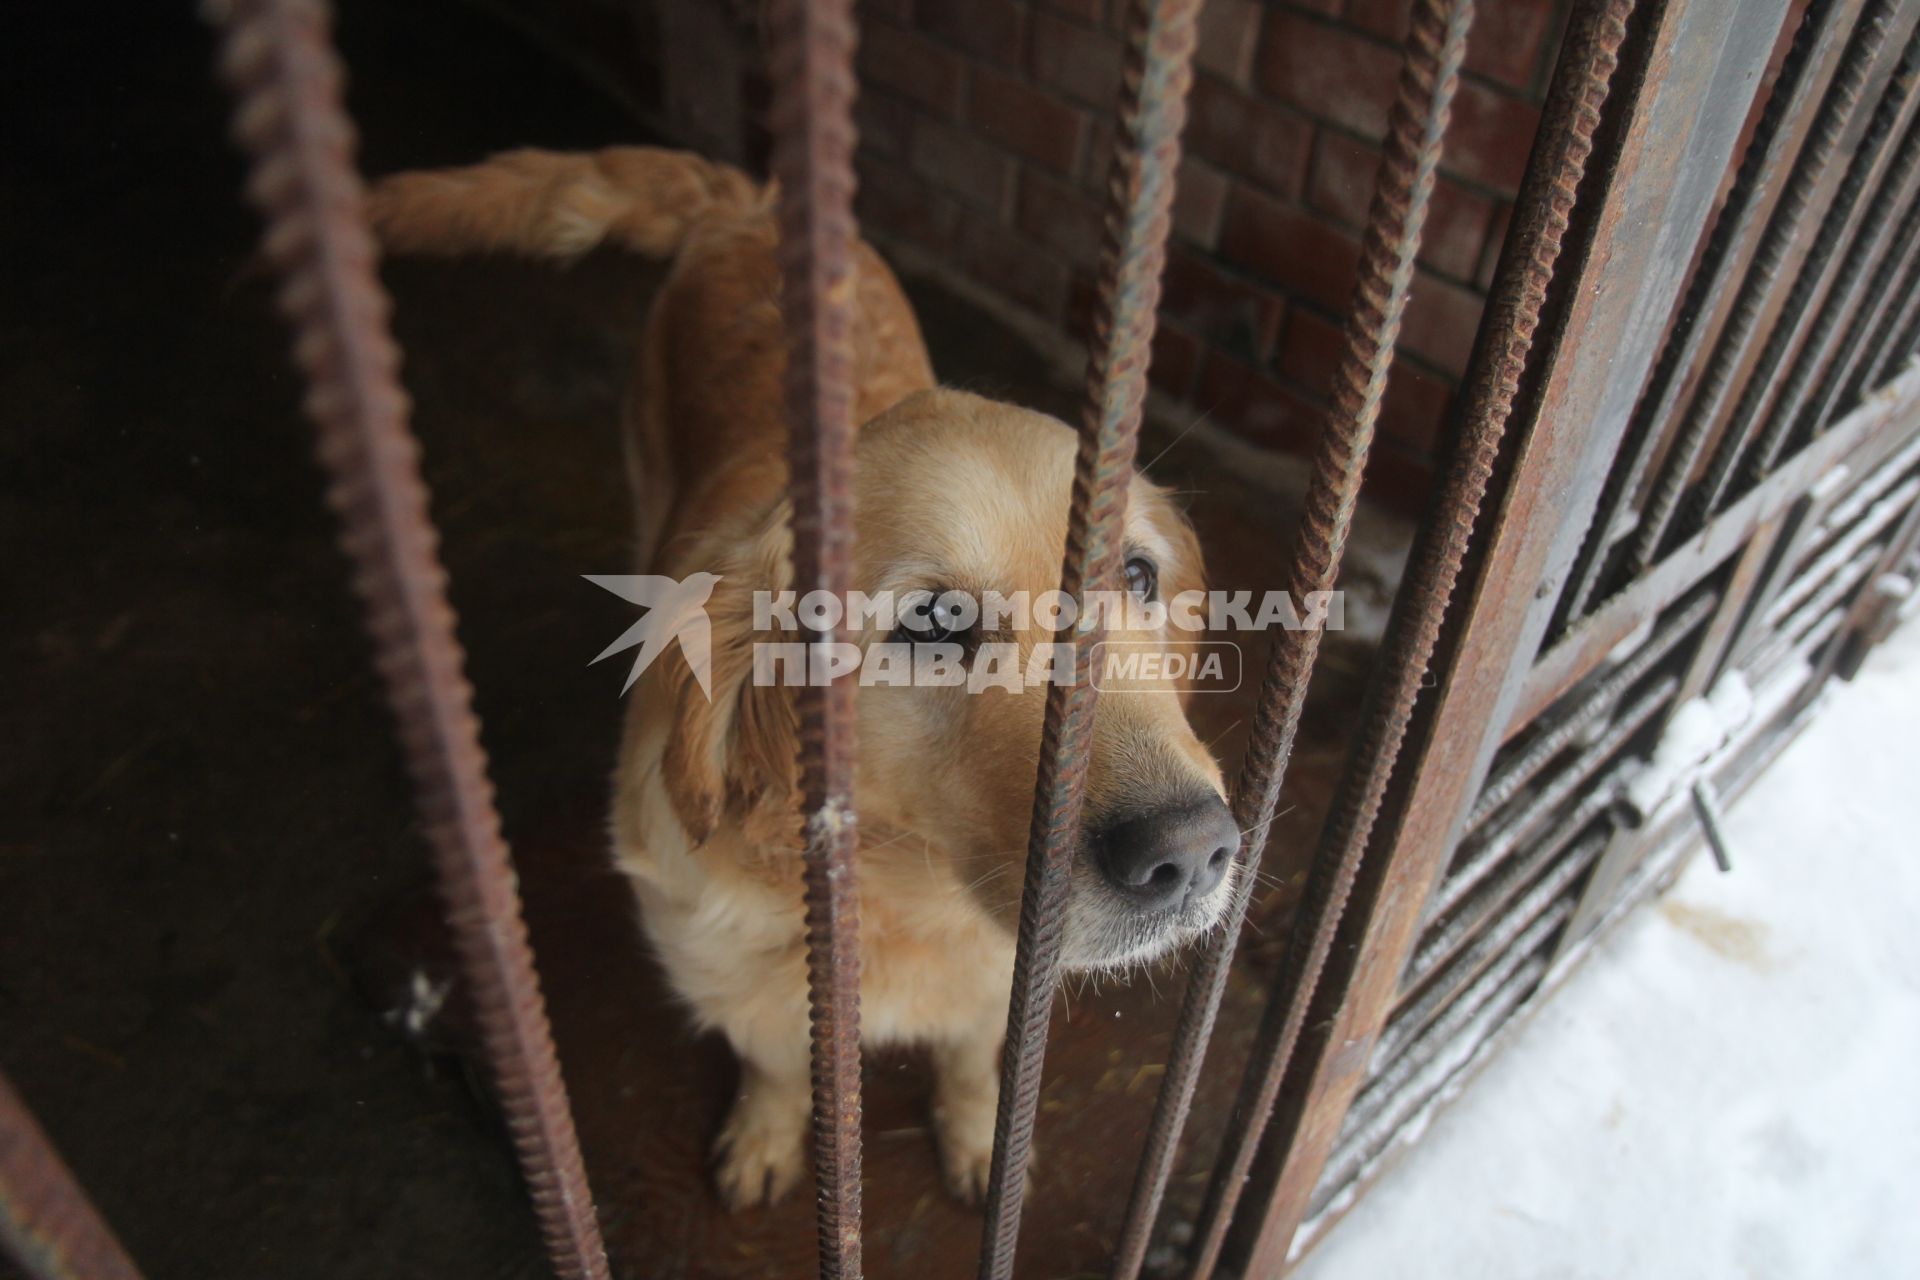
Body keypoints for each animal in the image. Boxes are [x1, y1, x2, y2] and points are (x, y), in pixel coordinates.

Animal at [366, 150, 1236, 1212]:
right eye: (933, 624)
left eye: (1139, 577)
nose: (1190, 854)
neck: (900, 890)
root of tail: (752, 204)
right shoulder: (736, 976)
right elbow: (776, 1060)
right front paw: (767, 1135)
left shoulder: (999, 986)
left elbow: (971, 1057)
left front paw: (980, 1137)